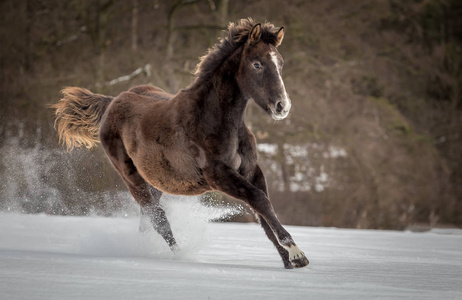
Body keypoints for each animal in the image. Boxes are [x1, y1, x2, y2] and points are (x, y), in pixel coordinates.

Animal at [52, 17, 308, 268]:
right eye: (257, 64)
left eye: (280, 63)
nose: (282, 106)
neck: (214, 120)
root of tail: (112, 101)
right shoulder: (219, 176)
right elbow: (259, 200)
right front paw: (296, 254)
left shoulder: (251, 171)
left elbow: (262, 211)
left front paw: (288, 260)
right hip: (132, 179)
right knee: (158, 219)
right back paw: (178, 255)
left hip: (155, 182)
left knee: (148, 219)